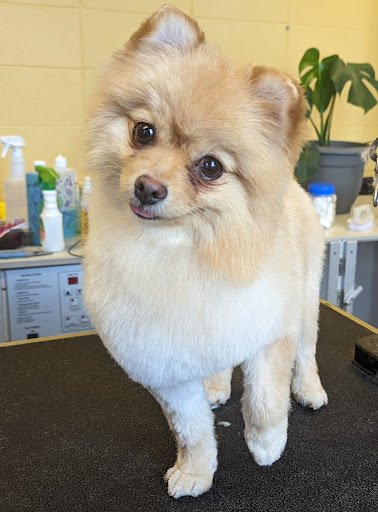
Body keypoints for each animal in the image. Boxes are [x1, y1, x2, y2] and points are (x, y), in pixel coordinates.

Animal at [82, 5, 328, 500]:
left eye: (210, 167)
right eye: (143, 132)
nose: (148, 187)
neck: (186, 248)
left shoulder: (270, 329)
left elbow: (266, 397)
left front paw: (267, 443)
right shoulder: (167, 366)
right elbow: (191, 429)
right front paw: (195, 472)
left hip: (307, 299)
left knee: (307, 350)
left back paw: (309, 389)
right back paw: (215, 384)